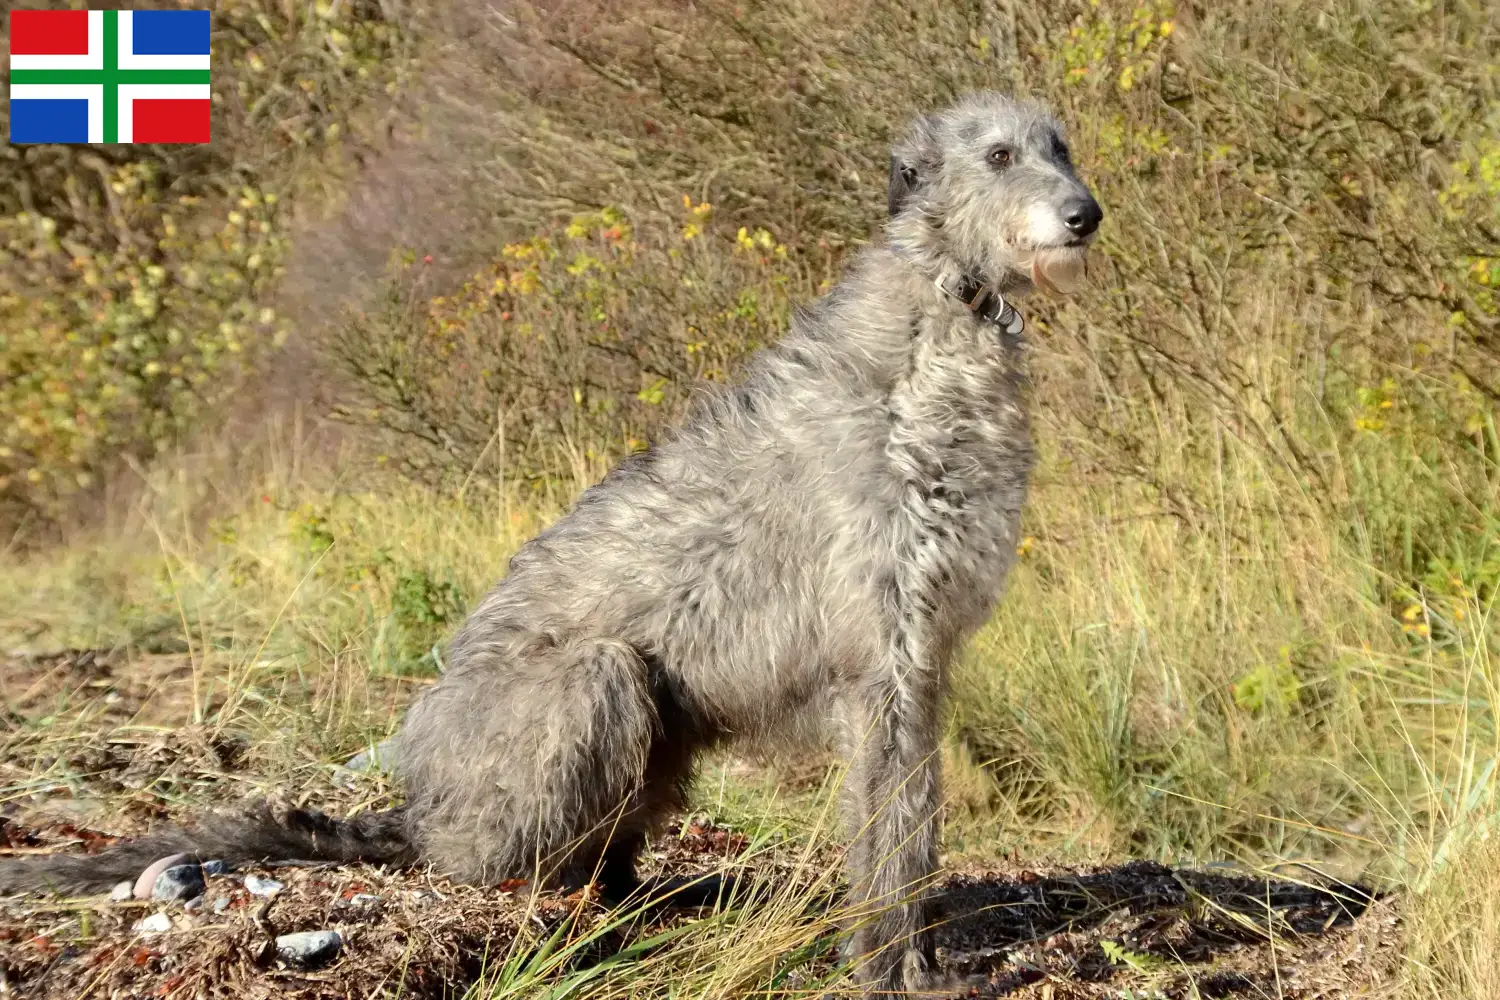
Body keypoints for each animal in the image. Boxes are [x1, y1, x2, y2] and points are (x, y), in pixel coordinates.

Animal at [0, 91, 1104, 995]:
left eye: (1061, 145)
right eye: (1000, 153)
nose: (1087, 214)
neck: (934, 330)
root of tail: (419, 805)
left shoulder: (922, 663)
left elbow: (915, 826)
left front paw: (920, 957)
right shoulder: (882, 661)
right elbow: (889, 835)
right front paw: (888, 966)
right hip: (593, 682)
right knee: (505, 851)